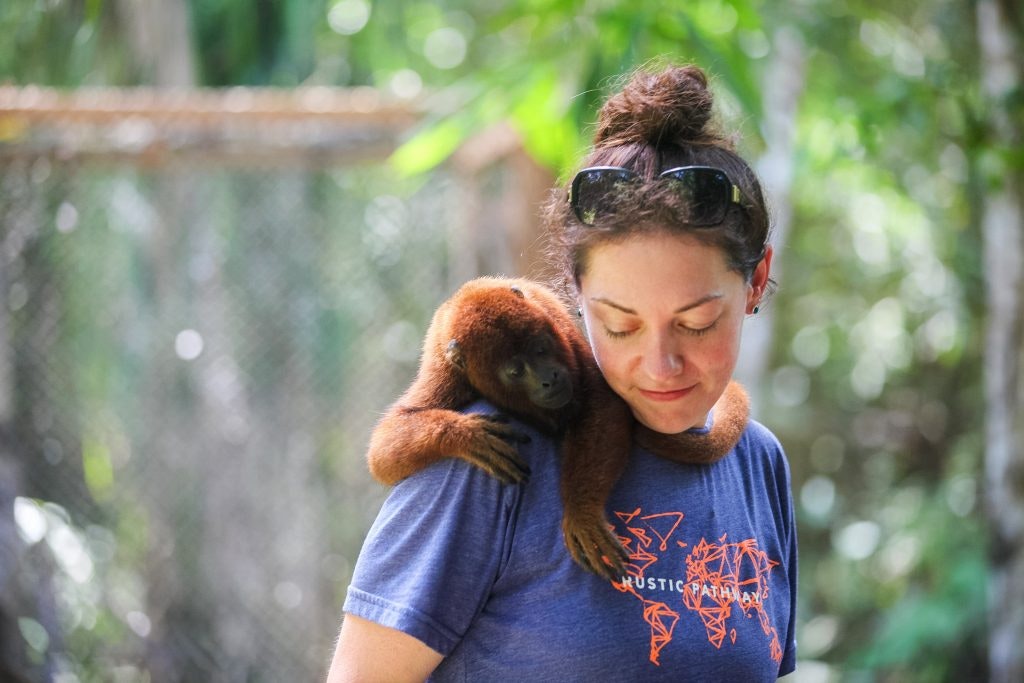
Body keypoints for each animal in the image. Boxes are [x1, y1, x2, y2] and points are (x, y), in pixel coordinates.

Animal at [366, 276, 633, 580]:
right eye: (516, 372)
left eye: (540, 348)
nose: (549, 379)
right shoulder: (448, 375)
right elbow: (383, 449)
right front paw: (468, 437)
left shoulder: (557, 326)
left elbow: (601, 398)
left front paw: (582, 512)